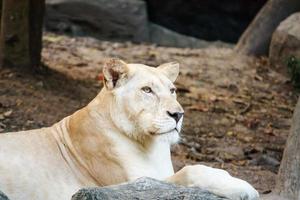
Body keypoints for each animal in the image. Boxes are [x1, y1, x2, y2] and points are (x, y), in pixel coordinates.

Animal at [0, 59, 258, 200]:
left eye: (173, 90)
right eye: (147, 90)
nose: (178, 114)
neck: (150, 145)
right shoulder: (135, 185)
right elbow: (190, 171)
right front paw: (244, 188)